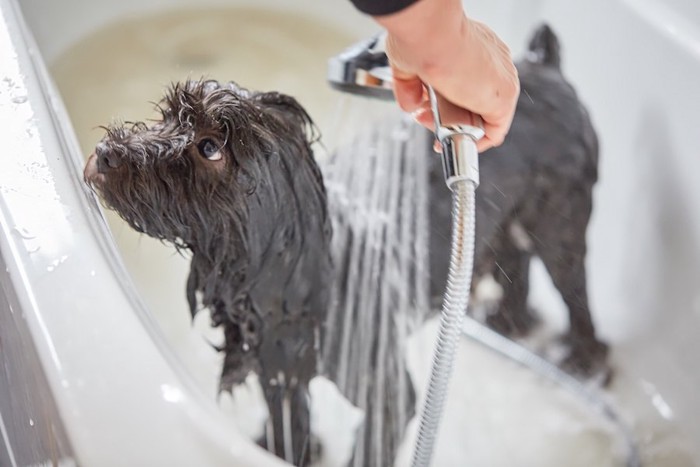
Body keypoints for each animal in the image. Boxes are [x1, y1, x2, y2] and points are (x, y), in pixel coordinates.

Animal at [426, 23, 608, 378]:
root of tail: (546, 66)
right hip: (508, 223)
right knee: (516, 272)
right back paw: (506, 321)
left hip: (558, 230)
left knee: (576, 295)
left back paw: (583, 359)